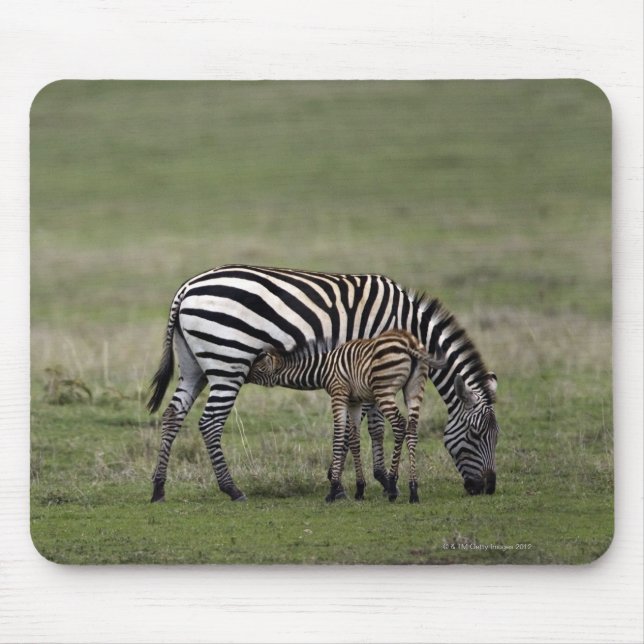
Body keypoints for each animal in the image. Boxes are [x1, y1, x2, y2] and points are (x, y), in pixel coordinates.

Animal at [246, 329, 446, 503]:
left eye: (258, 368)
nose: (244, 377)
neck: (324, 368)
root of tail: (408, 343)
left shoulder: (338, 394)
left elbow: (338, 437)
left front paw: (333, 489)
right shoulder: (354, 401)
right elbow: (354, 439)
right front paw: (360, 489)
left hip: (384, 391)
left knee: (399, 425)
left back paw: (392, 486)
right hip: (414, 389)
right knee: (411, 429)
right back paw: (413, 490)